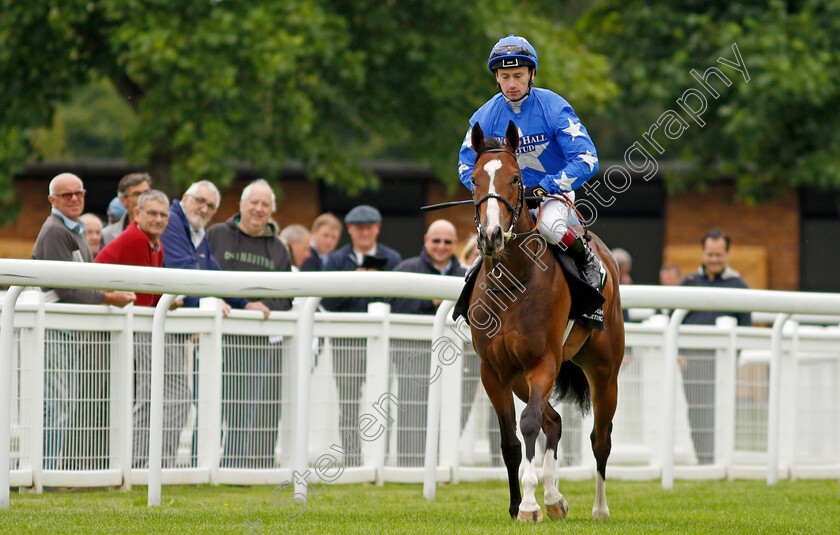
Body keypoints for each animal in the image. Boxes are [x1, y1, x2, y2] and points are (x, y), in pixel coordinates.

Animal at [466, 121, 624, 524]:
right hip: (522, 378)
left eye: (516, 178)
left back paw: (599, 508)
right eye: (474, 179)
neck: (512, 282)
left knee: (600, 437)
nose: (490, 236)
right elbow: (510, 440)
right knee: (554, 422)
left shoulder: (543, 362)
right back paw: (555, 498)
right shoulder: (494, 370)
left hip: (604, 370)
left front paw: (529, 504)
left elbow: (529, 424)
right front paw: (518, 504)